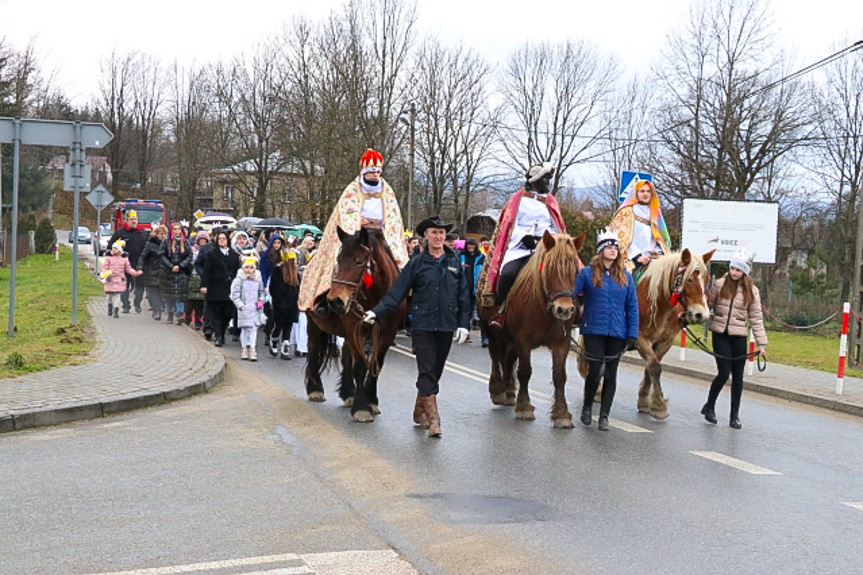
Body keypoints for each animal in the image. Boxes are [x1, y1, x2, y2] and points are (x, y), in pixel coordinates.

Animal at [302, 226, 406, 424]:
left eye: (359, 261)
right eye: (338, 260)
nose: (335, 301)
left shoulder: (387, 334)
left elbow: (376, 366)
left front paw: (371, 400)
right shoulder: (356, 330)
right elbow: (360, 367)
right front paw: (362, 408)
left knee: (345, 357)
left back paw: (348, 392)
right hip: (314, 325)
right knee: (313, 350)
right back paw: (315, 389)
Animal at [480, 230, 588, 428]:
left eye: (576, 272)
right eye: (550, 269)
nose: (564, 309)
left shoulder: (561, 342)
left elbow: (560, 376)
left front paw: (562, 413)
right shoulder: (523, 339)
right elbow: (525, 371)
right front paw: (524, 407)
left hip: (509, 337)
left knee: (507, 359)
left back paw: (509, 390)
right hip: (492, 331)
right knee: (495, 356)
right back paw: (498, 390)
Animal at [580, 248, 716, 418]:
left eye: (707, 279)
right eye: (689, 279)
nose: (701, 315)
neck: (658, 302)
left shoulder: (665, 342)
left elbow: (651, 367)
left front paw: (645, 400)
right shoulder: (640, 338)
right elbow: (655, 366)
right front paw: (658, 404)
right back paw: (597, 390)